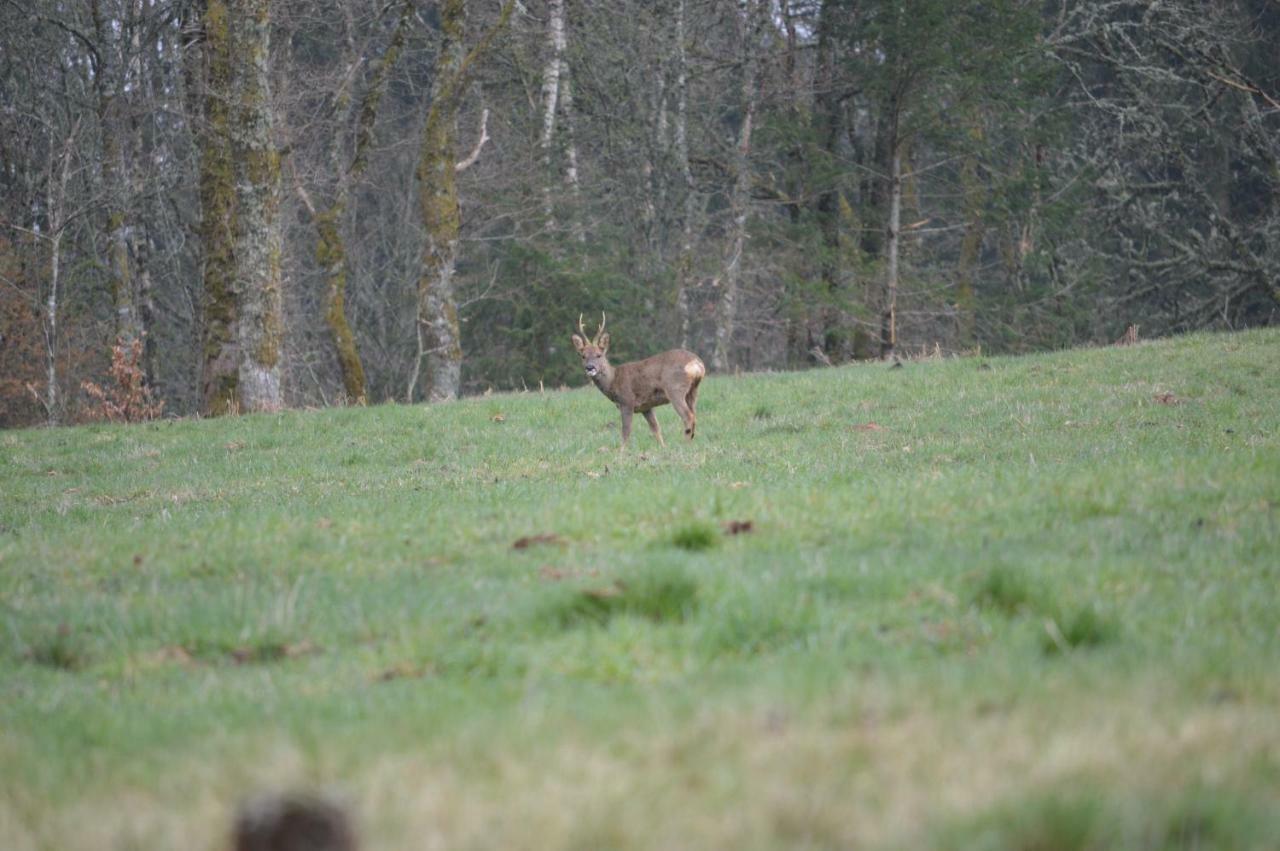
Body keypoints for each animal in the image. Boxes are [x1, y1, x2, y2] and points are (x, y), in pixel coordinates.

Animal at [573, 310, 706, 445]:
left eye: (599, 355)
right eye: (583, 356)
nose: (590, 367)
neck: (613, 380)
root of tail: (697, 363)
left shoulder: (627, 401)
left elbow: (626, 432)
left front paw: (621, 450)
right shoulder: (646, 407)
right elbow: (656, 430)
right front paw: (663, 447)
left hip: (675, 388)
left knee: (688, 416)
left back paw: (685, 444)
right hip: (693, 391)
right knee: (694, 416)